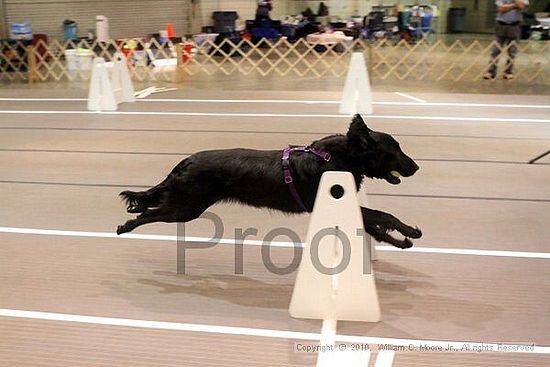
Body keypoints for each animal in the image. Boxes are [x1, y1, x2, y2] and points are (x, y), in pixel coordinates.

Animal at [117, 113, 422, 249]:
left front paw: (401, 241)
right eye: (394, 150)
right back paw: (125, 226)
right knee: (147, 214)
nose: (416, 167)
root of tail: (186, 161)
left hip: (185, 205)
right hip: (186, 207)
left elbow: (376, 224)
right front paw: (411, 231)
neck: (336, 158)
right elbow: (384, 215)